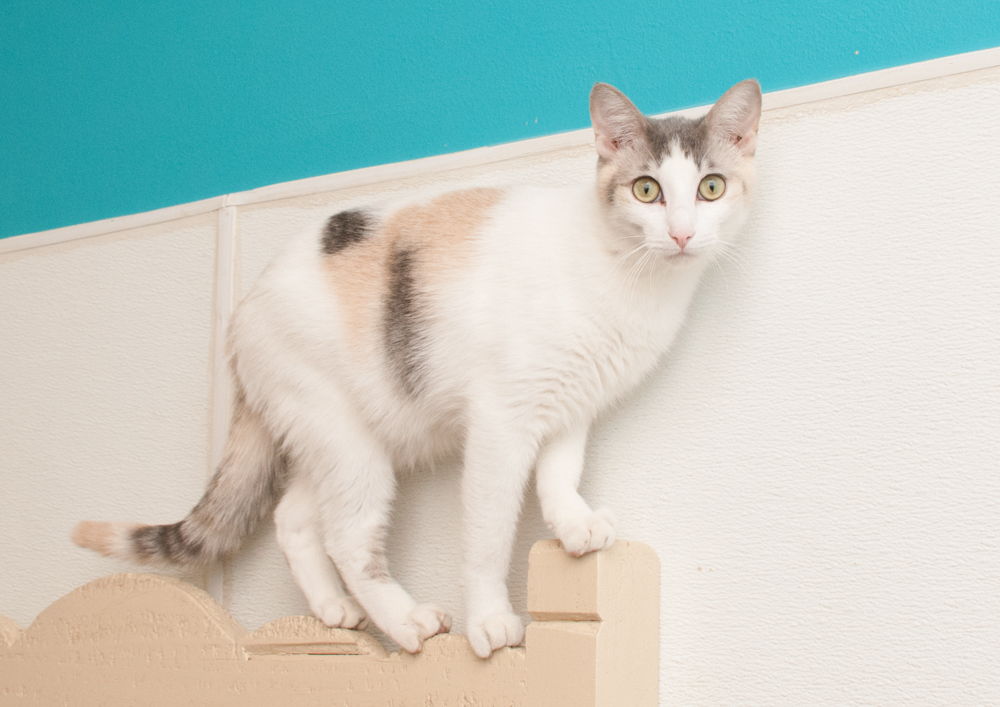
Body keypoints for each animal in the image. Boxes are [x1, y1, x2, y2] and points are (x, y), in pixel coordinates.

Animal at [74, 80, 760, 660]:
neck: (630, 275)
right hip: (346, 441)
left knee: (294, 519)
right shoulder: (501, 420)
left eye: (711, 189)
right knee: (349, 539)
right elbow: (488, 534)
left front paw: (572, 524)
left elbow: (561, 471)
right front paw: (490, 620)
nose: (681, 234)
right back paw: (405, 623)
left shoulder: (571, 401)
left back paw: (335, 612)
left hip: (338, 438)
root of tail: (240, 316)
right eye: (646, 190)